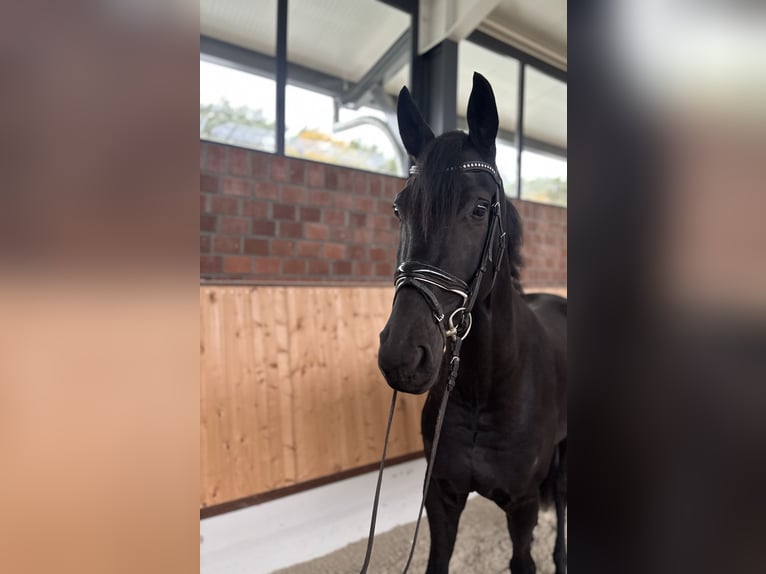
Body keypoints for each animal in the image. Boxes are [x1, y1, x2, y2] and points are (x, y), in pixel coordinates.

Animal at [377, 72, 567, 574]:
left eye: (480, 209)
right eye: (400, 208)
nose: (402, 355)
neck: (488, 385)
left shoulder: (522, 507)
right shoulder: (442, 500)